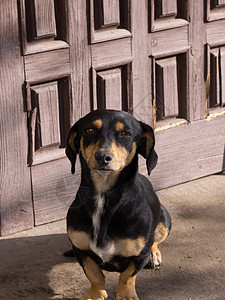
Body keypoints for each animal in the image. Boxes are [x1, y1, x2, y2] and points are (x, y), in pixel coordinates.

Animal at [66, 110, 171, 300]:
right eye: (90, 130)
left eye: (126, 134)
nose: (103, 157)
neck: (104, 197)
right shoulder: (80, 249)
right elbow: (94, 274)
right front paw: (95, 294)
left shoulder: (139, 256)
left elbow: (127, 276)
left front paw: (126, 295)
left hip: (165, 222)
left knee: (155, 239)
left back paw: (154, 254)